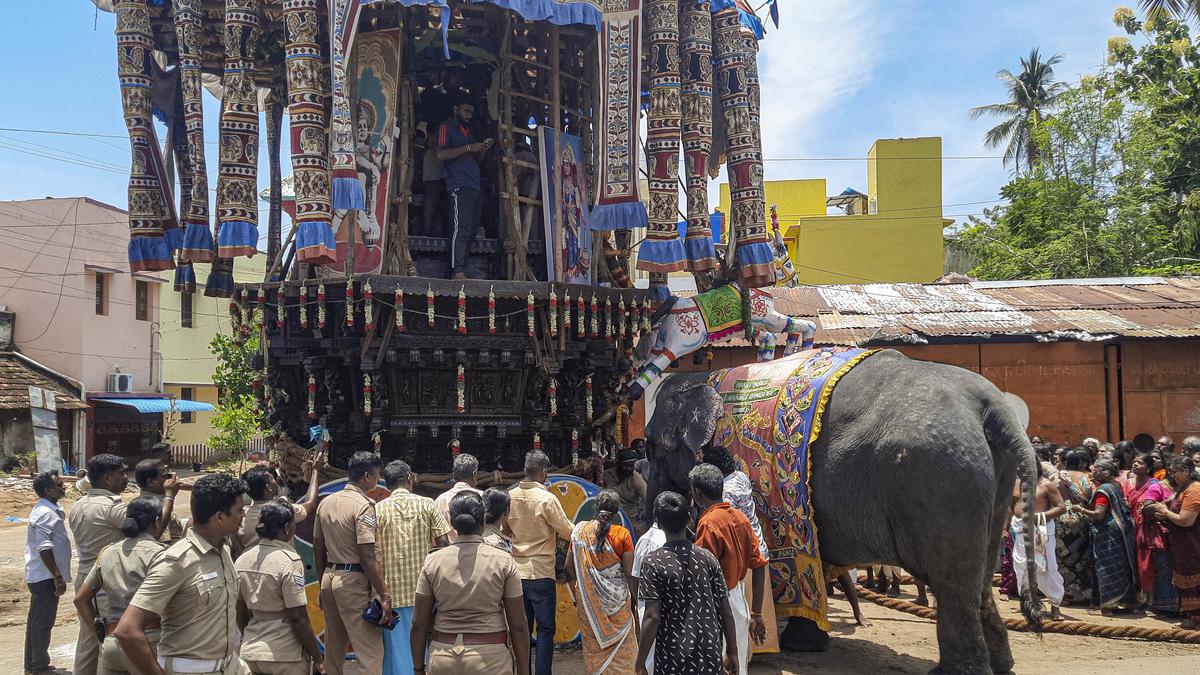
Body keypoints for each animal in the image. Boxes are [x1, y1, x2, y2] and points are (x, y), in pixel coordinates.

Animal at [643, 345, 1046, 672]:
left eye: (651, 445)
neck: (704, 377)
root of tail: (992, 404)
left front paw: (793, 645)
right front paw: (806, 644)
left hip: (941, 479)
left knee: (952, 581)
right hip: (991, 481)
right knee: (980, 575)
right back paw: (1002, 664)